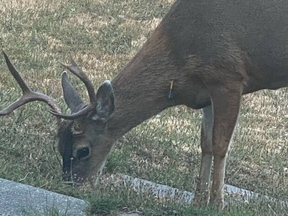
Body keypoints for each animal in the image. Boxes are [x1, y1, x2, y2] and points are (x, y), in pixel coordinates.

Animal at [0, 0, 288, 208]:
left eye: (83, 150)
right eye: (59, 147)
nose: (72, 185)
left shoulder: (228, 76)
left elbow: (219, 146)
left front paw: (217, 204)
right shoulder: (206, 91)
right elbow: (205, 144)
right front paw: (197, 202)